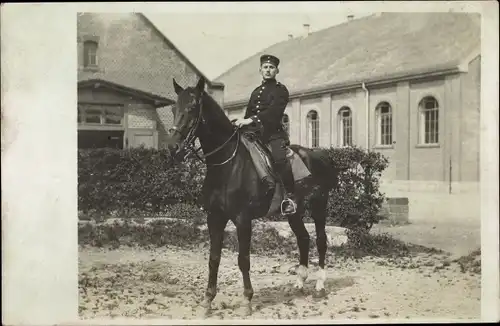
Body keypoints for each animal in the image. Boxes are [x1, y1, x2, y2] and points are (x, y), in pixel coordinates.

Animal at [166, 77, 342, 318]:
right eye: (174, 109)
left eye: (192, 108)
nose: (173, 148)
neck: (227, 164)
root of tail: (319, 154)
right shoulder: (215, 218)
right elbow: (214, 259)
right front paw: (208, 301)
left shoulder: (243, 220)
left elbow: (243, 260)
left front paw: (247, 301)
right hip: (294, 211)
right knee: (303, 238)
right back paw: (299, 282)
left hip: (319, 206)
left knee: (321, 241)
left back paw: (319, 286)